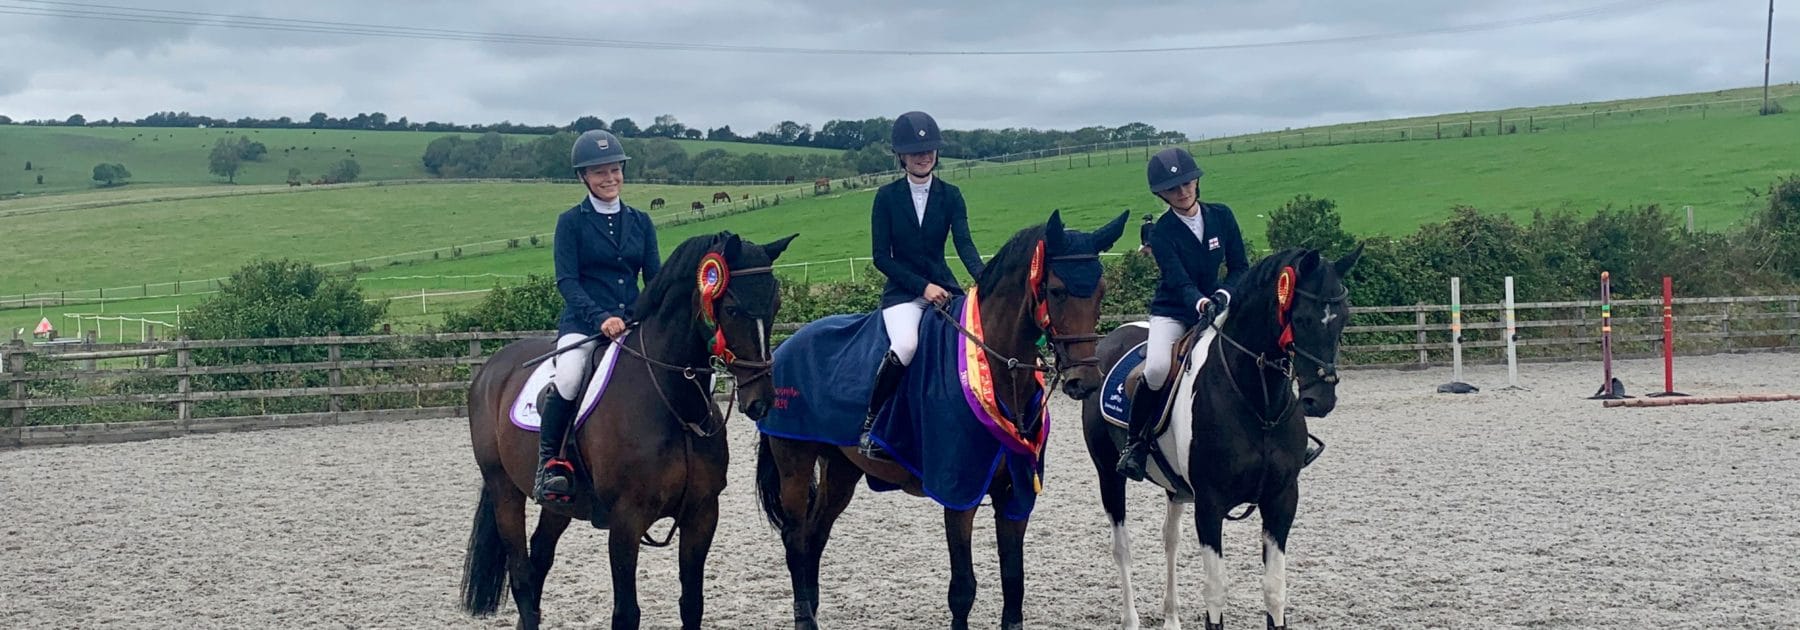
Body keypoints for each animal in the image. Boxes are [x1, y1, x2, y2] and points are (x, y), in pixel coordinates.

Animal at [460, 232, 799, 630]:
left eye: (775, 303)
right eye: (730, 309)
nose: (761, 400)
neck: (672, 400)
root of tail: (490, 368)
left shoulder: (702, 512)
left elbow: (692, 604)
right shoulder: (626, 520)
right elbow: (626, 612)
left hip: (559, 503)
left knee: (539, 557)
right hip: (504, 490)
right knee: (522, 574)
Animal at [756, 211, 1123, 630]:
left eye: (1100, 290)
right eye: (1058, 291)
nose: (1085, 381)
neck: (999, 371)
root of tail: (785, 347)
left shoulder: (1014, 492)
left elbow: (1014, 579)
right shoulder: (958, 492)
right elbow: (963, 588)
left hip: (840, 470)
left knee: (815, 536)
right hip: (795, 464)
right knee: (795, 538)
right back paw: (804, 617)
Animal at [1072, 246, 1353, 630]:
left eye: (1343, 318)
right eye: (1303, 318)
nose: (1320, 400)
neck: (1258, 404)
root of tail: (1112, 339)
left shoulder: (1281, 499)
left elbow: (1275, 590)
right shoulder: (1210, 504)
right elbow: (1216, 591)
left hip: (1175, 488)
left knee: (1170, 541)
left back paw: (1171, 618)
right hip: (1109, 475)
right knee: (1122, 546)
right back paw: (1131, 619)